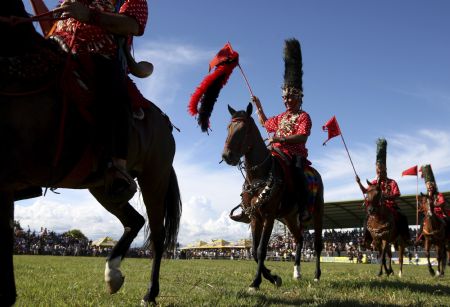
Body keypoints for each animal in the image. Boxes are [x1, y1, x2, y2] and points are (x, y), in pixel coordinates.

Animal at [2, 1, 181, 306]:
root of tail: (165, 123)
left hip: (154, 179)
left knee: (157, 236)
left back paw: (150, 293)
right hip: (101, 186)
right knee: (134, 220)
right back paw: (113, 275)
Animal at [221, 103, 324, 292]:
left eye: (245, 129)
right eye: (228, 127)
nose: (227, 156)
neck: (259, 177)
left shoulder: (268, 217)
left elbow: (261, 250)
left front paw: (257, 282)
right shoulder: (255, 217)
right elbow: (254, 251)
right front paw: (272, 277)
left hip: (318, 212)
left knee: (317, 245)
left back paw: (316, 276)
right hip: (289, 217)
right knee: (299, 239)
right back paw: (297, 273)